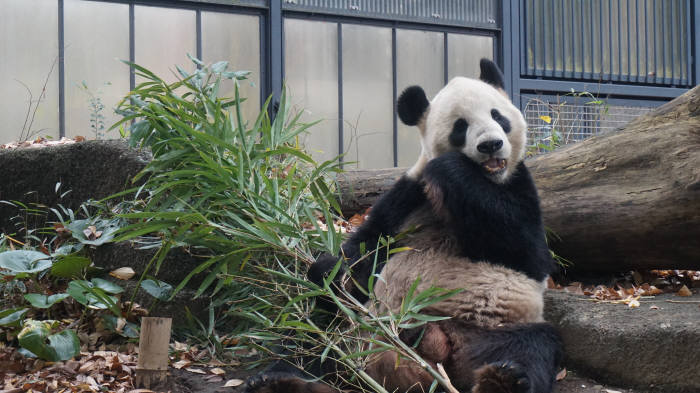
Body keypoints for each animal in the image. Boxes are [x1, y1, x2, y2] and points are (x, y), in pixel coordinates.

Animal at [246, 58, 564, 392]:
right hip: (355, 328)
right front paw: (330, 270)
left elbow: (528, 252)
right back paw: (279, 379)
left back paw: (503, 380)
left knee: (531, 346)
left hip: (495, 329)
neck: (484, 181)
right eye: (460, 126)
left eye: (498, 116)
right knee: (312, 335)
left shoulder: (520, 187)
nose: (490, 144)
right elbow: (365, 249)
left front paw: (453, 169)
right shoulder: (406, 197)